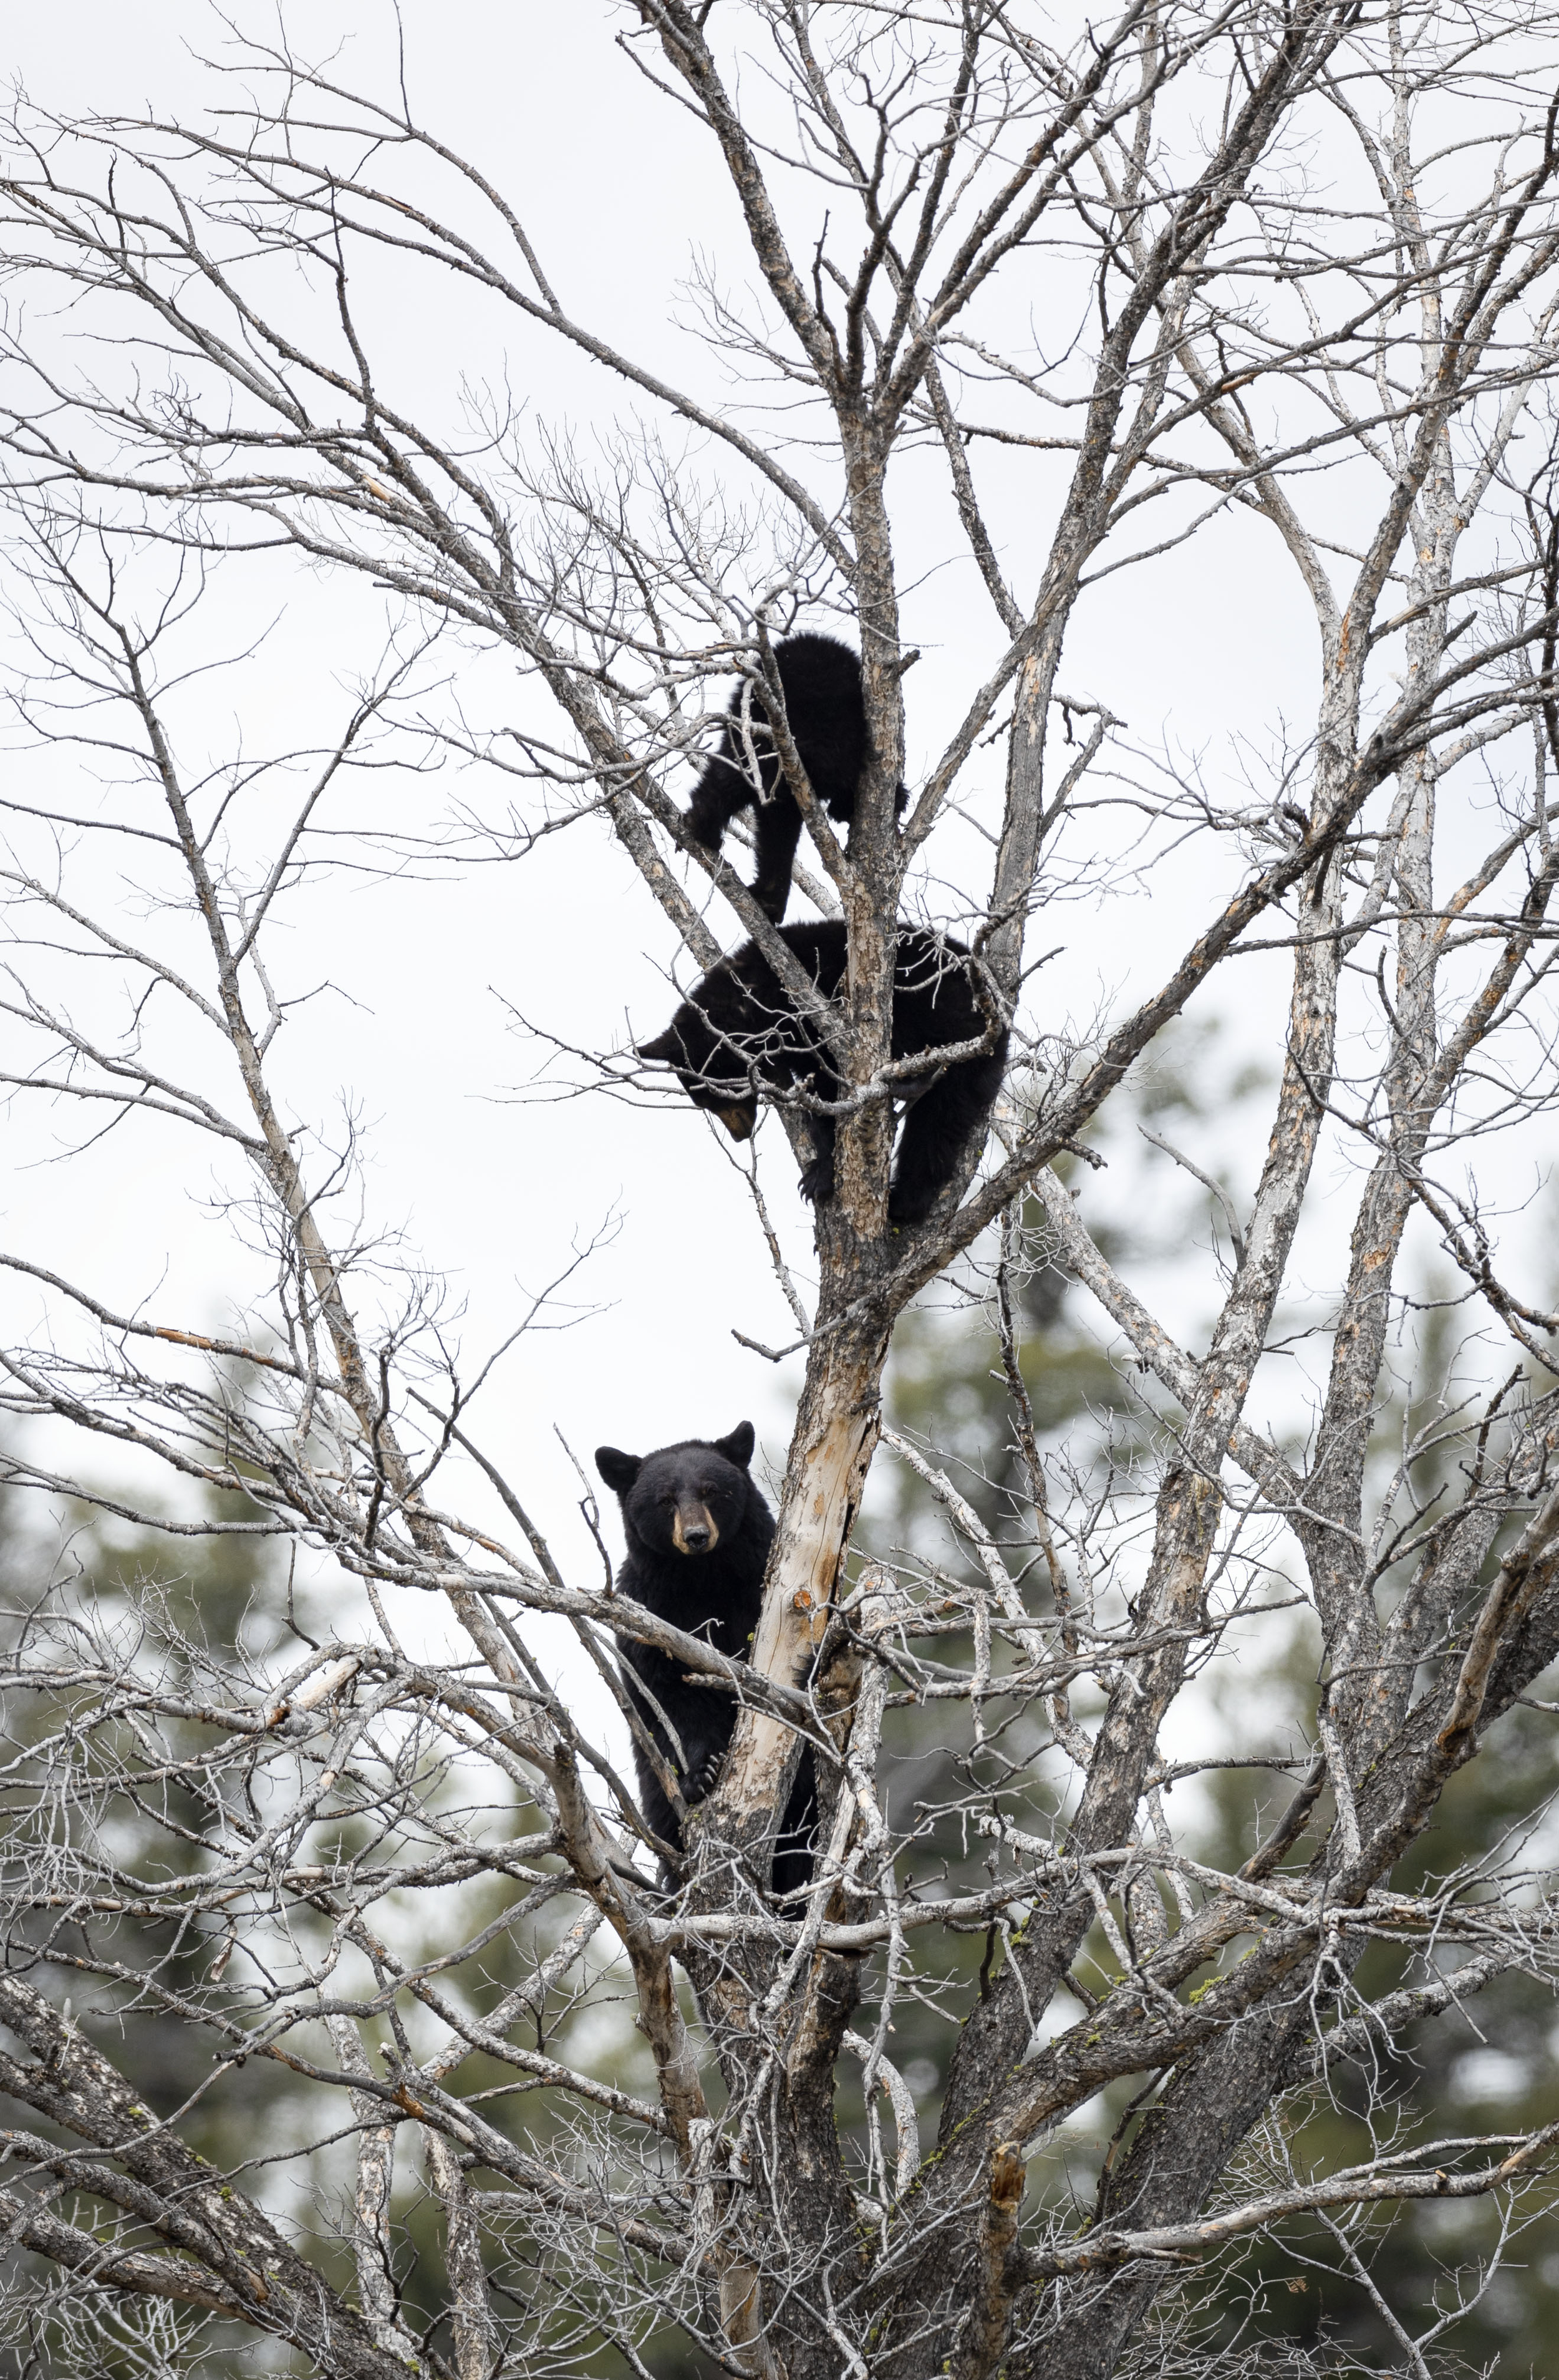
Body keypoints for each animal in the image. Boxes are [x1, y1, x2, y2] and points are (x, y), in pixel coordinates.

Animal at [594, 1421, 818, 1897]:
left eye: (711, 1490)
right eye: (664, 1500)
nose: (696, 1537)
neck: (704, 1577)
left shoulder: (760, 1581)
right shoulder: (651, 1611)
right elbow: (671, 1694)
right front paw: (703, 1772)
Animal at [635, 920, 1008, 1226]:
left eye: (716, 1095)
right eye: (705, 1103)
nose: (740, 1136)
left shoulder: (813, 1019)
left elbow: (832, 1087)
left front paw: (820, 1174)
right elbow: (817, 1093)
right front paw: (819, 1169)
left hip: (939, 1014)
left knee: (940, 1114)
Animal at [685, 631, 907, 923]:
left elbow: (776, 824)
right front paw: (892, 799)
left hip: (746, 731)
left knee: (734, 779)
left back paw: (703, 825)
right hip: (828, 727)